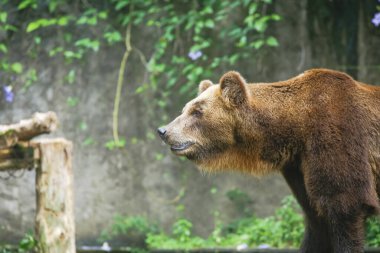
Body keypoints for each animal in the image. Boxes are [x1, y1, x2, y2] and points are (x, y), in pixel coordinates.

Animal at [157, 69, 380, 253]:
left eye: (197, 111)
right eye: (185, 108)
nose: (163, 131)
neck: (295, 128)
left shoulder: (336, 139)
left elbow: (344, 203)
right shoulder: (299, 166)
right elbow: (317, 220)